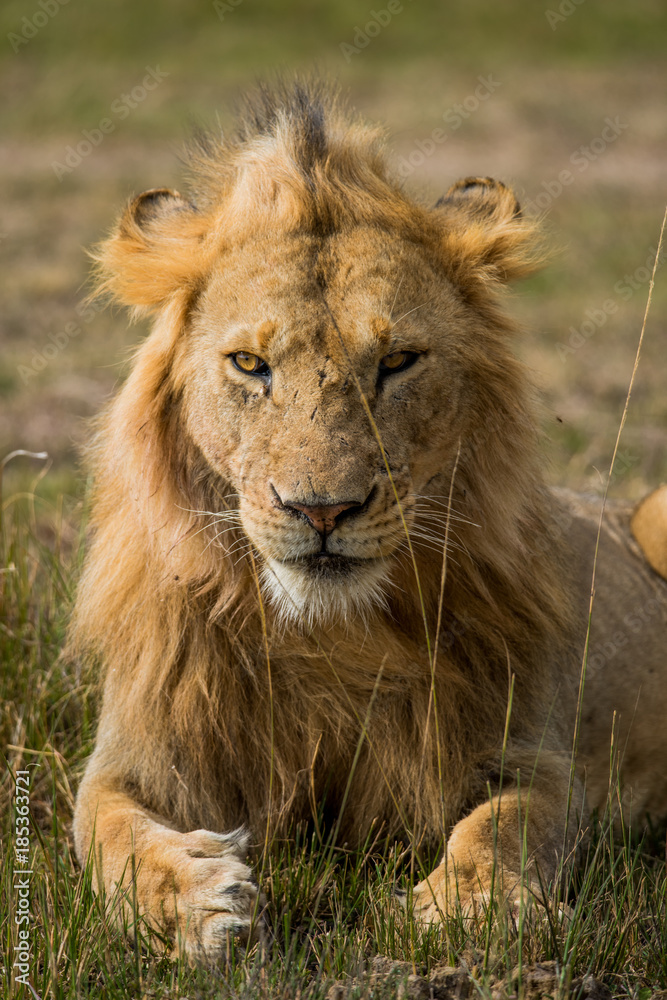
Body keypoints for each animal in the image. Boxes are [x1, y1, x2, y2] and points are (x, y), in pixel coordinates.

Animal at [70, 81, 667, 964]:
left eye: (396, 362)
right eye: (249, 364)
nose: (321, 508)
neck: (331, 634)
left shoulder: (529, 746)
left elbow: (507, 823)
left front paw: (472, 907)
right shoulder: (136, 753)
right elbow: (109, 834)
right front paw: (198, 903)